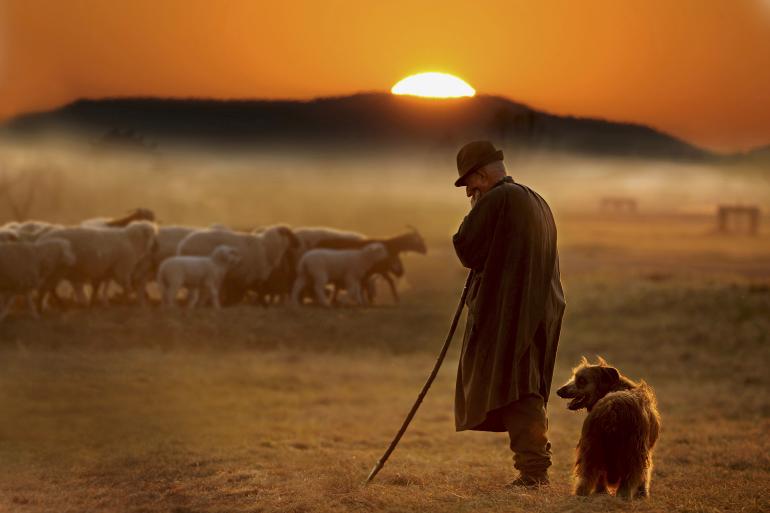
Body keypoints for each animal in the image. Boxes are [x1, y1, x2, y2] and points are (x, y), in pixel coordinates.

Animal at [556, 358, 656, 498]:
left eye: (581, 380)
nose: (558, 391)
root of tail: (613, 408)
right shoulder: (646, 451)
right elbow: (645, 475)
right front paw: (643, 494)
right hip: (633, 453)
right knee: (627, 481)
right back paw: (623, 497)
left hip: (591, 448)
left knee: (587, 479)